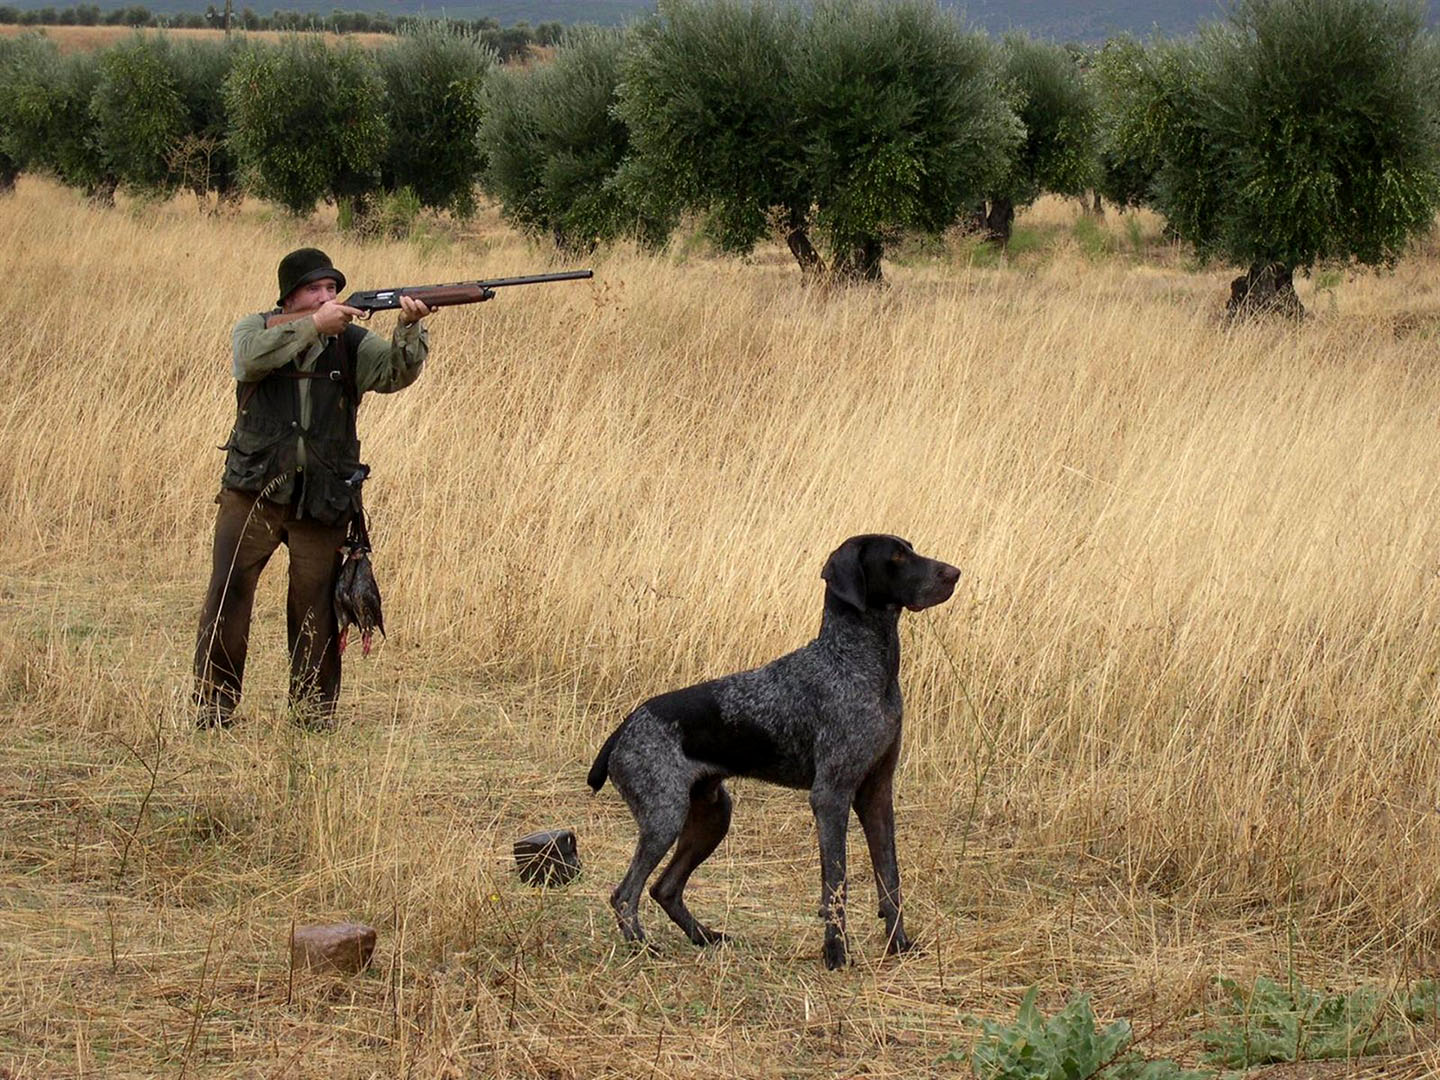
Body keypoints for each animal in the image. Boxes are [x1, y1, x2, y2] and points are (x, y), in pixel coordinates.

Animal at [584, 538, 956, 967]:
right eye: (895, 556)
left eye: (909, 548)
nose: (955, 573)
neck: (857, 663)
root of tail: (625, 726)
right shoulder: (831, 796)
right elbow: (836, 882)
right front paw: (836, 954)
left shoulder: (876, 794)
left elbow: (889, 878)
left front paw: (900, 945)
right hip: (664, 818)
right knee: (625, 894)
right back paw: (643, 947)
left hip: (712, 815)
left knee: (665, 888)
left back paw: (704, 936)